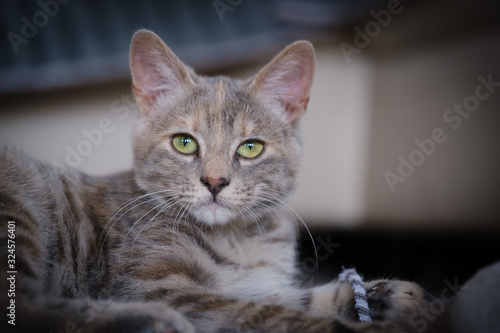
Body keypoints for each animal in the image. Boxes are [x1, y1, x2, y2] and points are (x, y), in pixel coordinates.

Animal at [0, 29, 430, 330]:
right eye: (184, 143)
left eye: (251, 148)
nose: (215, 181)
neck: (239, 239)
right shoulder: (160, 288)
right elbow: (265, 314)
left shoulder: (259, 283)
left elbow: (288, 298)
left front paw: (381, 293)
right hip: (23, 206)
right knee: (27, 308)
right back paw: (147, 321)